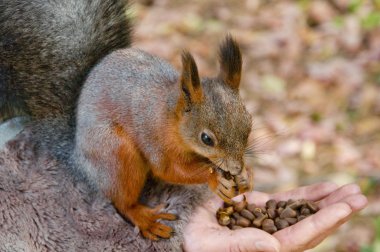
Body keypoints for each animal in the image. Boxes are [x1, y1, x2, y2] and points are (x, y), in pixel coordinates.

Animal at [2, 0, 255, 241]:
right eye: (206, 138)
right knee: (122, 201)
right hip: (118, 155)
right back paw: (145, 219)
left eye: (249, 124)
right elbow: (170, 170)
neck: (171, 118)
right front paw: (214, 178)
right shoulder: (155, 139)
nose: (236, 167)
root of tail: (79, 158)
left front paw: (246, 176)